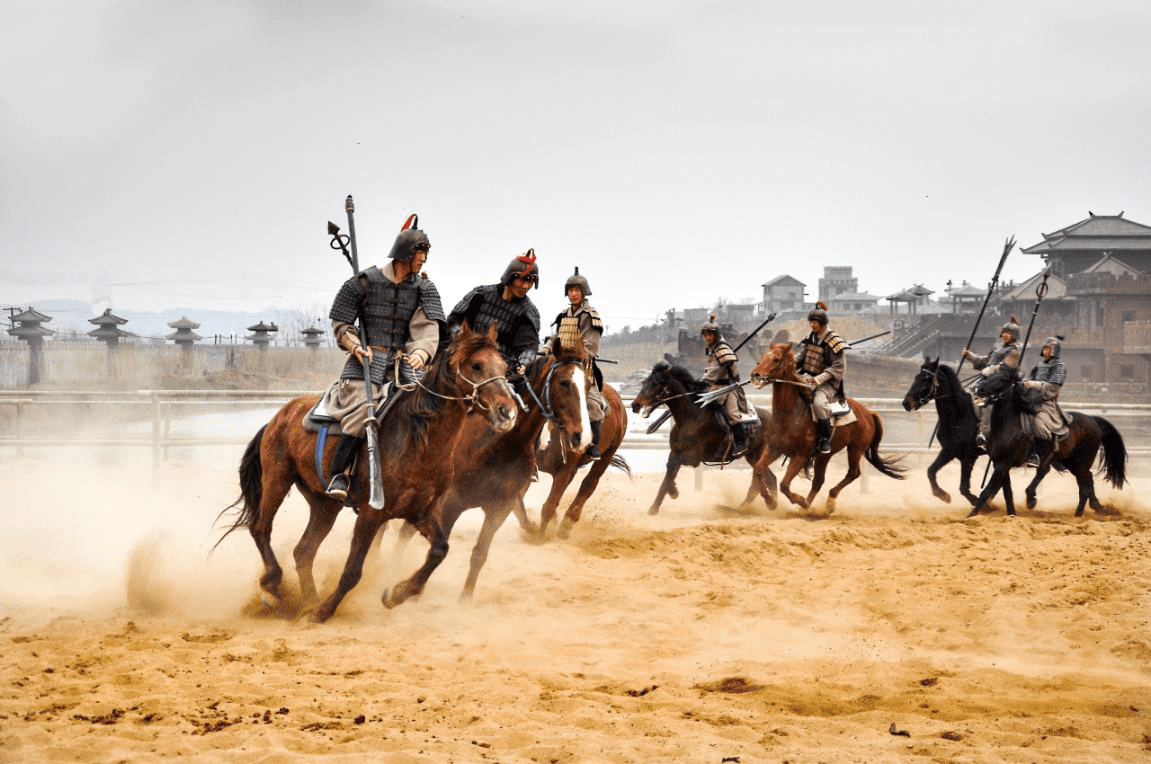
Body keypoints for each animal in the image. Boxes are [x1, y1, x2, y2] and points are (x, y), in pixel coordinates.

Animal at [219, 322, 517, 621]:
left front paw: (397, 594)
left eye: (504, 367)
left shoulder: (422, 511)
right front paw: (325, 611)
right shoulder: (372, 514)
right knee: (261, 529)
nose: (508, 412)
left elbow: (439, 550)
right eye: (476, 365)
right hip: (277, 479)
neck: (417, 440)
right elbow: (352, 571)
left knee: (303, 551)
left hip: (324, 503)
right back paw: (274, 587)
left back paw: (308, 601)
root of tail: (279, 417)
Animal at [630, 361, 773, 515]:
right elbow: (669, 473)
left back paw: (766, 502)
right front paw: (664, 498)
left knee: (760, 480)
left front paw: (663, 500)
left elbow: (669, 475)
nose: (635, 405)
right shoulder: (674, 453)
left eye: (656, 383)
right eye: (644, 382)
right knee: (766, 478)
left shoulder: (693, 457)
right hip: (752, 455)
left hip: (758, 454)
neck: (690, 417)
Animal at [750, 340, 902, 513]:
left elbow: (784, 485)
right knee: (819, 481)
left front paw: (800, 501)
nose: (755, 375)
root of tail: (868, 413)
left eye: (776, 359)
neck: (791, 414)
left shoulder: (800, 456)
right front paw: (770, 501)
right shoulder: (774, 448)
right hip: (825, 456)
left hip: (855, 448)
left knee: (853, 473)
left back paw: (827, 501)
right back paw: (808, 508)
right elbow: (758, 469)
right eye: (763, 356)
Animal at [897, 356, 980, 506]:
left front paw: (984, 503)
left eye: (925, 379)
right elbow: (931, 471)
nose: (906, 403)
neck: (959, 415)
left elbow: (964, 487)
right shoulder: (949, 450)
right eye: (916, 377)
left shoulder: (969, 455)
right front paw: (942, 494)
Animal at [962, 372, 1123, 515]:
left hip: (1081, 463)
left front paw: (971, 515)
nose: (978, 388)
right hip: (1071, 463)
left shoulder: (1003, 464)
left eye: (1002, 379)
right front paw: (1011, 514)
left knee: (1083, 488)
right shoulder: (1000, 464)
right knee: (1087, 480)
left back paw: (1078, 515)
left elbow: (987, 491)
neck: (1008, 425)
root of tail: (1093, 420)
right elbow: (1007, 492)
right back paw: (1096, 507)